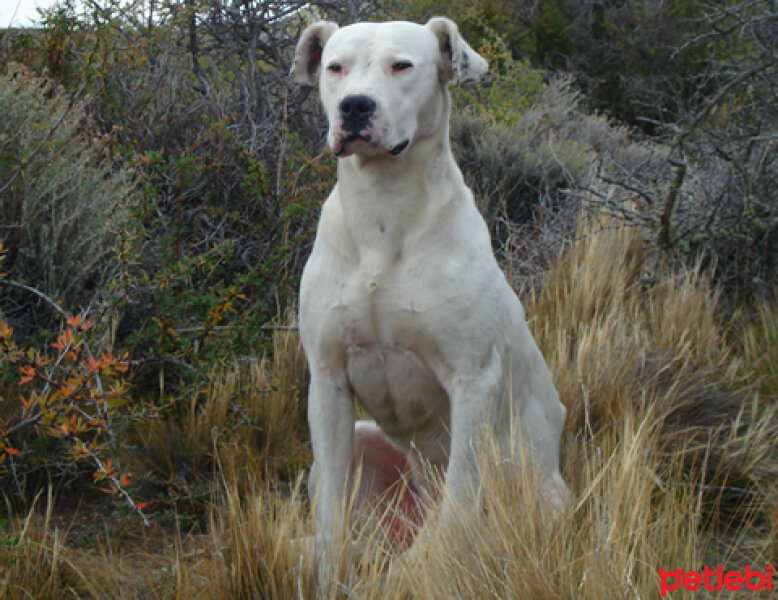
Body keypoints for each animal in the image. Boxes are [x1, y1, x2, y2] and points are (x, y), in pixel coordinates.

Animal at [290, 16, 564, 576]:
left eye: (402, 65)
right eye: (335, 67)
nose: (355, 106)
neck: (383, 212)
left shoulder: (473, 380)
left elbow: (460, 498)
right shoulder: (327, 379)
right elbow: (330, 512)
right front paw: (326, 567)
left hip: (547, 495)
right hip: (364, 443)